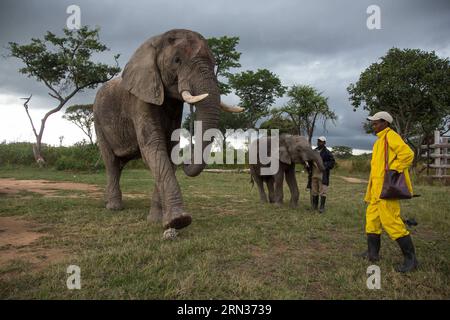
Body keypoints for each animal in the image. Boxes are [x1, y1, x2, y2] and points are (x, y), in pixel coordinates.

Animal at [92, 30, 243, 230]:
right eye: (177, 60)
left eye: (214, 63)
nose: (187, 159)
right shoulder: (141, 97)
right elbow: (154, 147)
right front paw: (179, 221)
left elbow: (169, 148)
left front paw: (157, 220)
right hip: (98, 120)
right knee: (111, 162)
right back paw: (114, 207)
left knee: (119, 164)